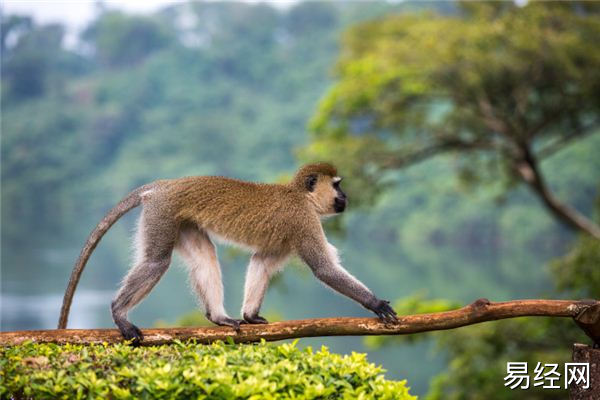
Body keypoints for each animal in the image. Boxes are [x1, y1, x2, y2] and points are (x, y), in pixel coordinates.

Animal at [58, 163, 398, 344]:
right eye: (337, 186)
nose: (346, 196)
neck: (301, 197)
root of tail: (165, 185)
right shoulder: (303, 220)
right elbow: (324, 269)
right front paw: (375, 303)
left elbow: (261, 262)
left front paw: (250, 316)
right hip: (162, 213)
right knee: (156, 262)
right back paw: (118, 311)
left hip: (181, 220)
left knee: (204, 256)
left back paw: (218, 317)